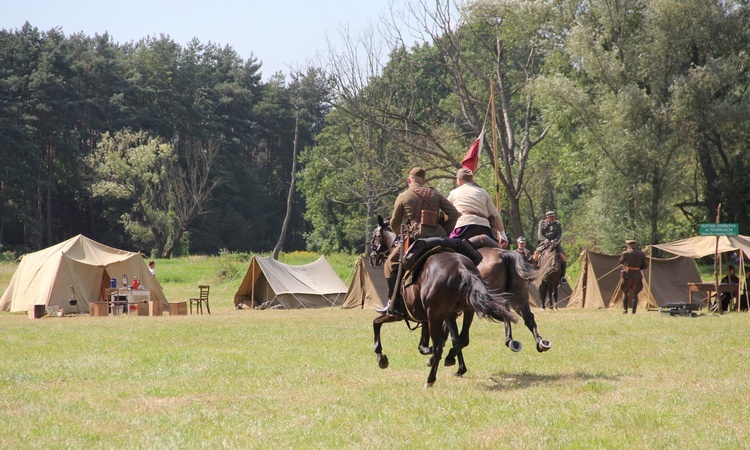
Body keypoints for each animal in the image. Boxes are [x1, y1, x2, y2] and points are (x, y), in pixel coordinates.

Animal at [370, 217, 516, 386]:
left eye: (375, 235)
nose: (372, 257)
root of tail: (461, 268)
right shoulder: (442, 316)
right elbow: (451, 339)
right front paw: (458, 366)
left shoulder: (398, 315)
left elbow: (376, 323)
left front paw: (380, 356)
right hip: (466, 311)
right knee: (462, 339)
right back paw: (448, 358)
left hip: (435, 316)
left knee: (440, 346)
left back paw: (430, 379)